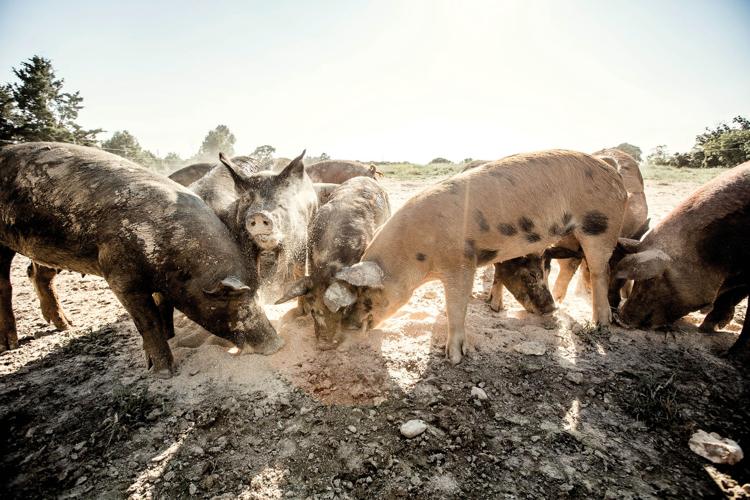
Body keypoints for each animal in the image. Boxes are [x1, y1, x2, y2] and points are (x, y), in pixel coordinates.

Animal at [0, 142, 283, 375]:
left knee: (37, 273)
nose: (277, 344)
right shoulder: (118, 274)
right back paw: (11, 344)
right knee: (7, 284)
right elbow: (147, 321)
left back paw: (65, 326)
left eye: (255, 293)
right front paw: (164, 372)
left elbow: (162, 307)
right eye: (233, 301)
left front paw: (170, 336)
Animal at [190, 152, 318, 307]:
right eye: (246, 200)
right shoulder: (244, 239)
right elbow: (253, 271)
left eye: (280, 199)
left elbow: (287, 269)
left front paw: (277, 299)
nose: (259, 214)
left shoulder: (297, 237)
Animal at [332, 150, 626, 363]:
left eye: (366, 294)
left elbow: (456, 306)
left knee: (600, 271)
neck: (416, 257)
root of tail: (609, 167)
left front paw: (453, 358)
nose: (345, 329)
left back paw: (599, 325)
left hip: (599, 225)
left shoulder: (461, 262)